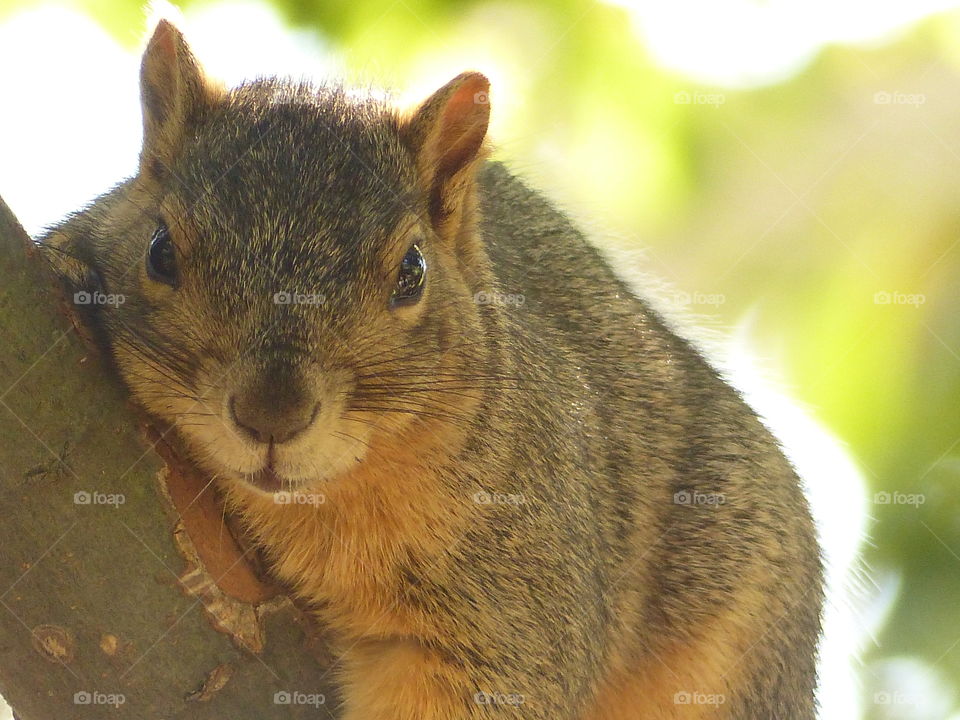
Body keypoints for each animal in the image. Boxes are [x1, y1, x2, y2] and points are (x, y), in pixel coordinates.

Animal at [40, 19, 823, 720]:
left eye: (412, 273)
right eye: (160, 251)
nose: (271, 415)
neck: (310, 508)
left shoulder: (521, 594)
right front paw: (73, 265)